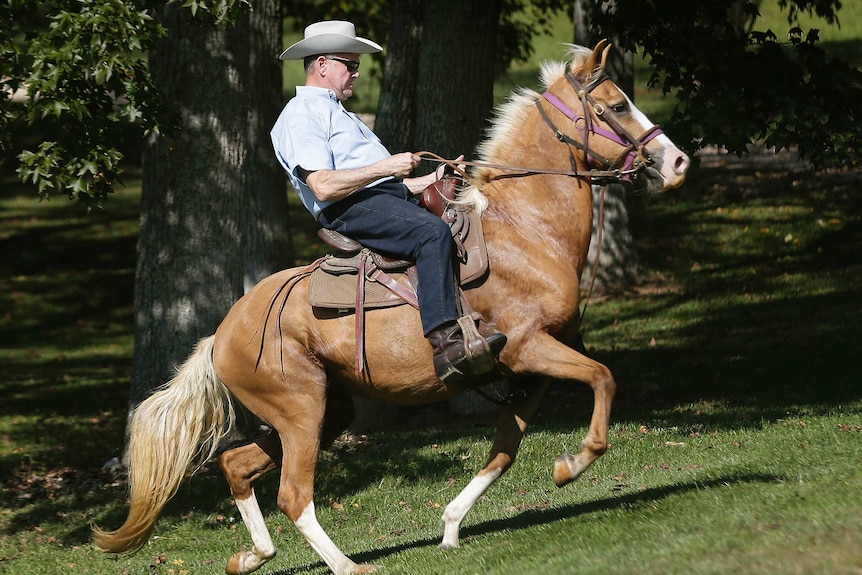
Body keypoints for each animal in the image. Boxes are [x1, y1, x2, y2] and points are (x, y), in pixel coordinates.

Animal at [93, 41, 688, 575]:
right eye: (615, 105)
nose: (677, 161)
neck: (526, 230)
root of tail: (221, 334)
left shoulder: (530, 369)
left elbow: (505, 448)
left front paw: (453, 524)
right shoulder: (528, 349)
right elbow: (603, 378)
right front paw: (574, 464)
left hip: (323, 412)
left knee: (236, 466)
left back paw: (253, 556)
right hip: (301, 413)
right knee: (293, 494)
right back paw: (349, 566)